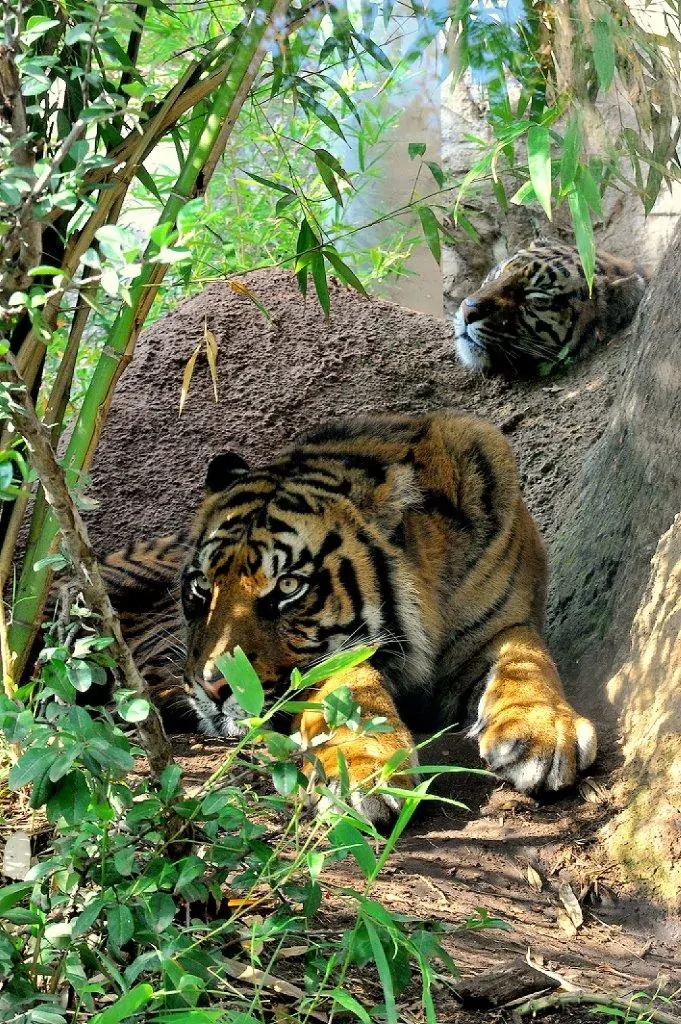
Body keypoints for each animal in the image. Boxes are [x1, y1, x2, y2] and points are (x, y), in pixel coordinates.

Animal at [98, 409, 598, 831]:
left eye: (287, 587)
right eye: (202, 586)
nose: (216, 688)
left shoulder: (502, 627)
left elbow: (529, 660)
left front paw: (540, 731)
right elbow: (351, 689)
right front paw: (364, 769)